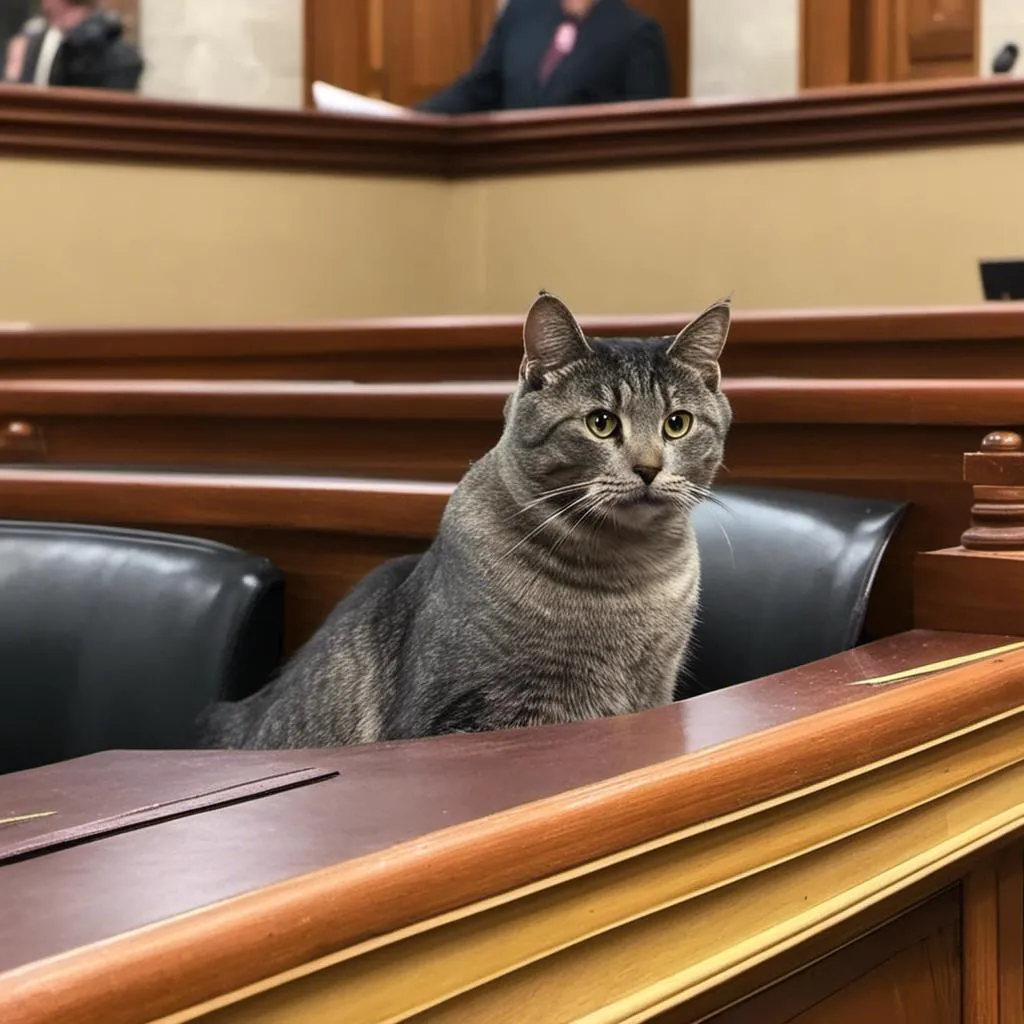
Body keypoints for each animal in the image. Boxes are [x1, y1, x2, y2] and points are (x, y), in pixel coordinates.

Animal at [201, 292, 729, 749]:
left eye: (677, 423)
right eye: (601, 423)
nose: (648, 468)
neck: (626, 579)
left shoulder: (653, 691)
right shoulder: (476, 712)